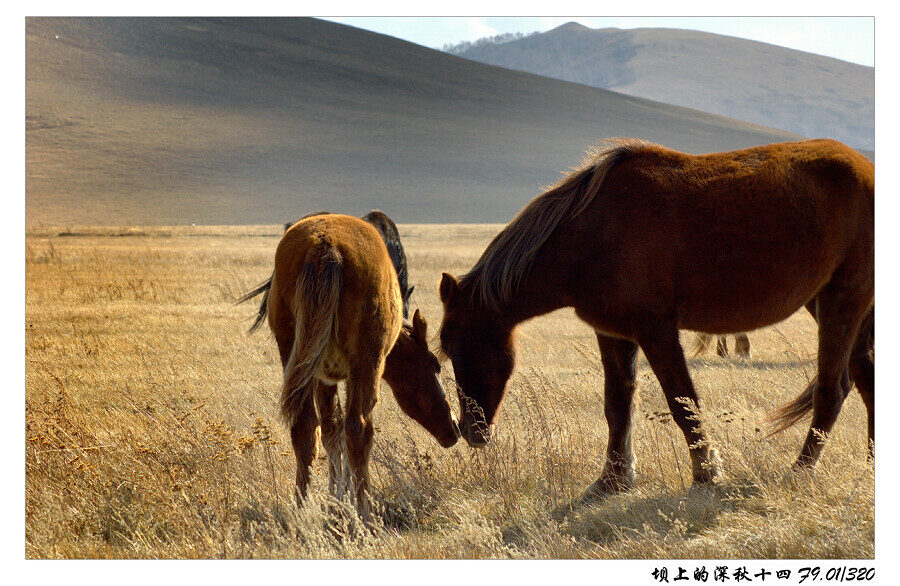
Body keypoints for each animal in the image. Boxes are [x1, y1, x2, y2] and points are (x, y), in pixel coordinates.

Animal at [440, 138, 876, 498]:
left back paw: (800, 470)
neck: (591, 234)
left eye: (459, 345)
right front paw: (612, 479)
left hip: (842, 301)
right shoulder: (613, 333)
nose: (470, 432)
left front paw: (706, 473)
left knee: (833, 389)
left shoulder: (656, 330)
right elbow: (617, 404)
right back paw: (871, 467)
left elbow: (682, 402)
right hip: (835, 306)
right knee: (866, 381)